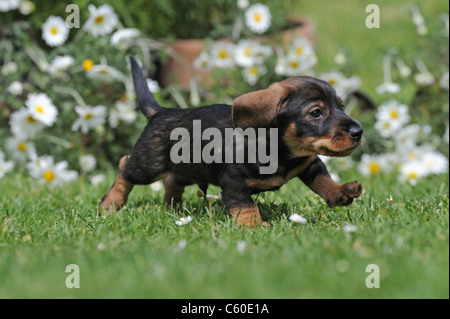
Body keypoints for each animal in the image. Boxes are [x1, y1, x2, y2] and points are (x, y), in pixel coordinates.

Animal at [100, 57, 364, 228]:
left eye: (341, 106)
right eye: (316, 113)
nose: (358, 131)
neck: (283, 153)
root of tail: (161, 112)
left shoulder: (309, 163)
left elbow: (323, 181)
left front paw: (340, 192)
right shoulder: (234, 183)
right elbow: (246, 206)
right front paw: (254, 226)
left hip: (185, 170)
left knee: (172, 180)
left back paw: (173, 209)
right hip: (148, 165)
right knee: (125, 166)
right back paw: (110, 205)